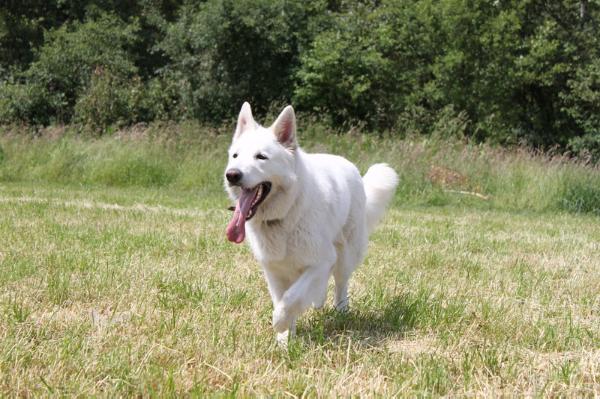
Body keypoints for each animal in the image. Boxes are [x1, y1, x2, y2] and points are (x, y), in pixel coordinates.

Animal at [225, 102, 398, 344]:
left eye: (261, 157)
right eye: (235, 156)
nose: (232, 175)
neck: (286, 214)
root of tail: (351, 167)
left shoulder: (320, 261)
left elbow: (291, 298)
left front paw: (279, 321)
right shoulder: (274, 270)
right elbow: (284, 298)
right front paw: (285, 339)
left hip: (345, 255)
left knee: (341, 282)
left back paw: (341, 310)